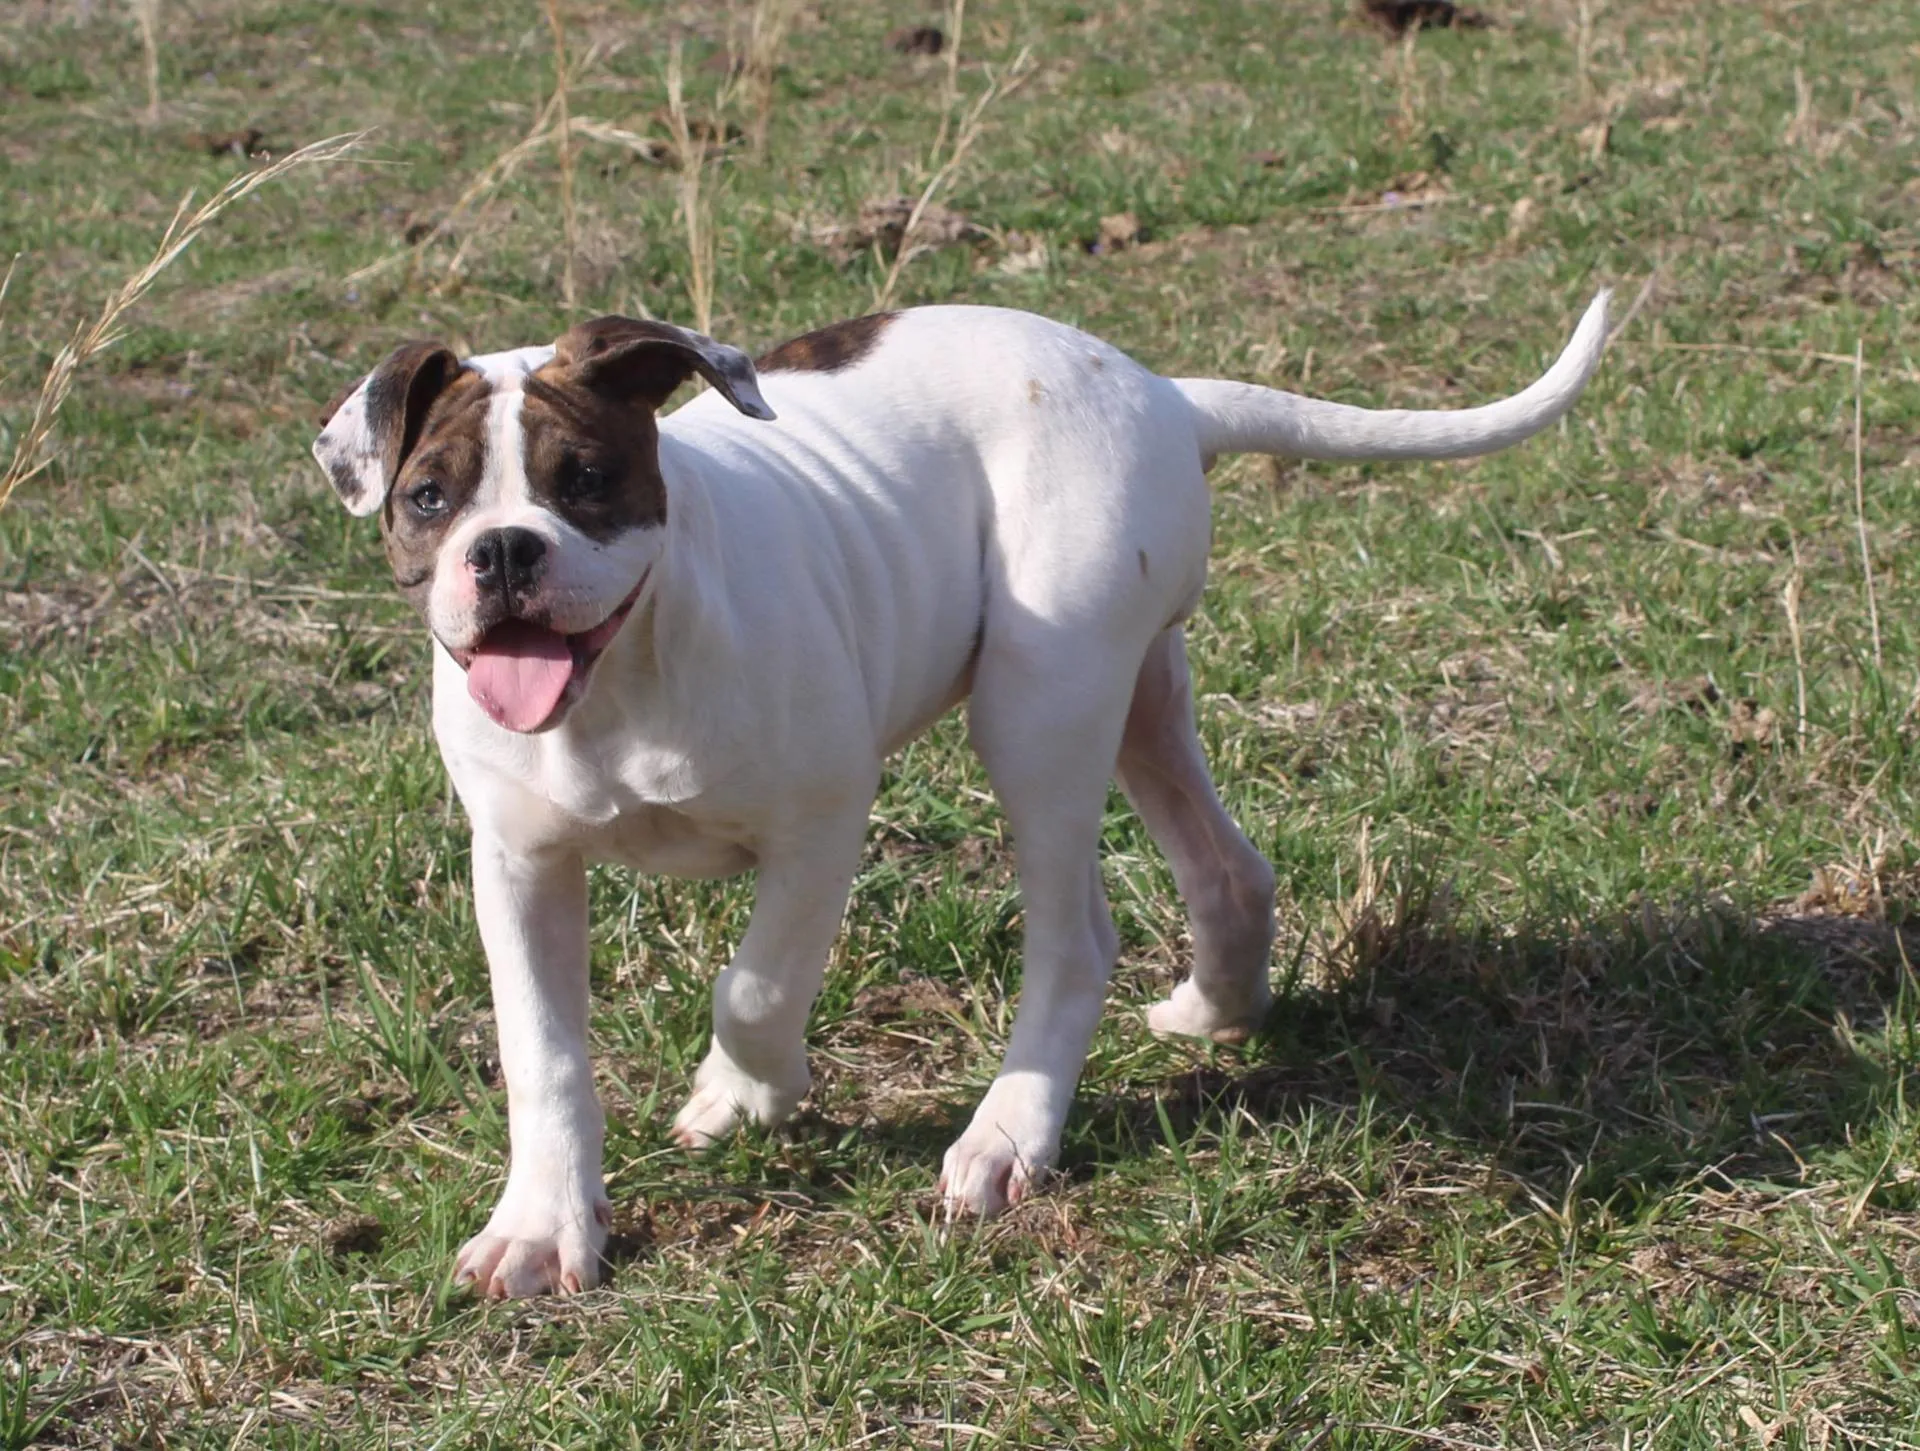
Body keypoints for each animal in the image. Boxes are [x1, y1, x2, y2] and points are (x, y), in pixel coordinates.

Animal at [311, 289, 1605, 1297]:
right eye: (429, 498)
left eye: (585, 480)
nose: (505, 552)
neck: (621, 681)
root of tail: (1162, 391)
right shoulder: (519, 865)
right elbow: (543, 1052)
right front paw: (541, 1226)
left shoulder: (822, 822)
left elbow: (755, 985)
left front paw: (748, 1091)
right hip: (1137, 693)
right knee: (1225, 863)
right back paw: (1218, 1010)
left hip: (1037, 704)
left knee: (1077, 937)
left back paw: (1007, 1133)